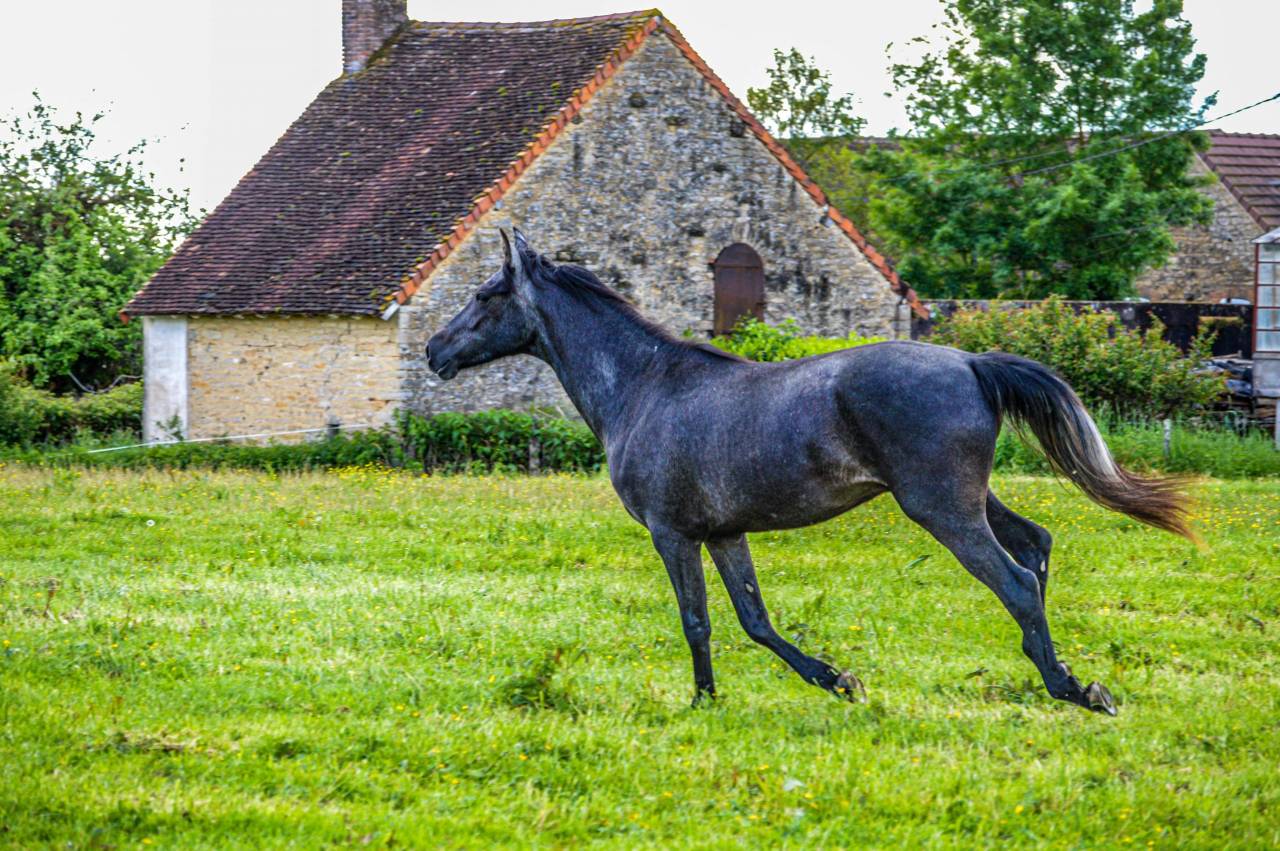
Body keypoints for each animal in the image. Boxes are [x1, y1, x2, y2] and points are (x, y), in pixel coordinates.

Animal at [426, 229, 1194, 715]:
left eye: (488, 294)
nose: (434, 350)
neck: (644, 387)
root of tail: (971, 361)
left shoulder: (671, 533)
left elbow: (697, 620)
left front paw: (702, 701)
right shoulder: (723, 532)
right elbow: (754, 619)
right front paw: (836, 680)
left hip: (942, 508)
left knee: (1014, 580)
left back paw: (1074, 688)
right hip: (972, 499)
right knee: (1036, 548)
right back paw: (1056, 675)